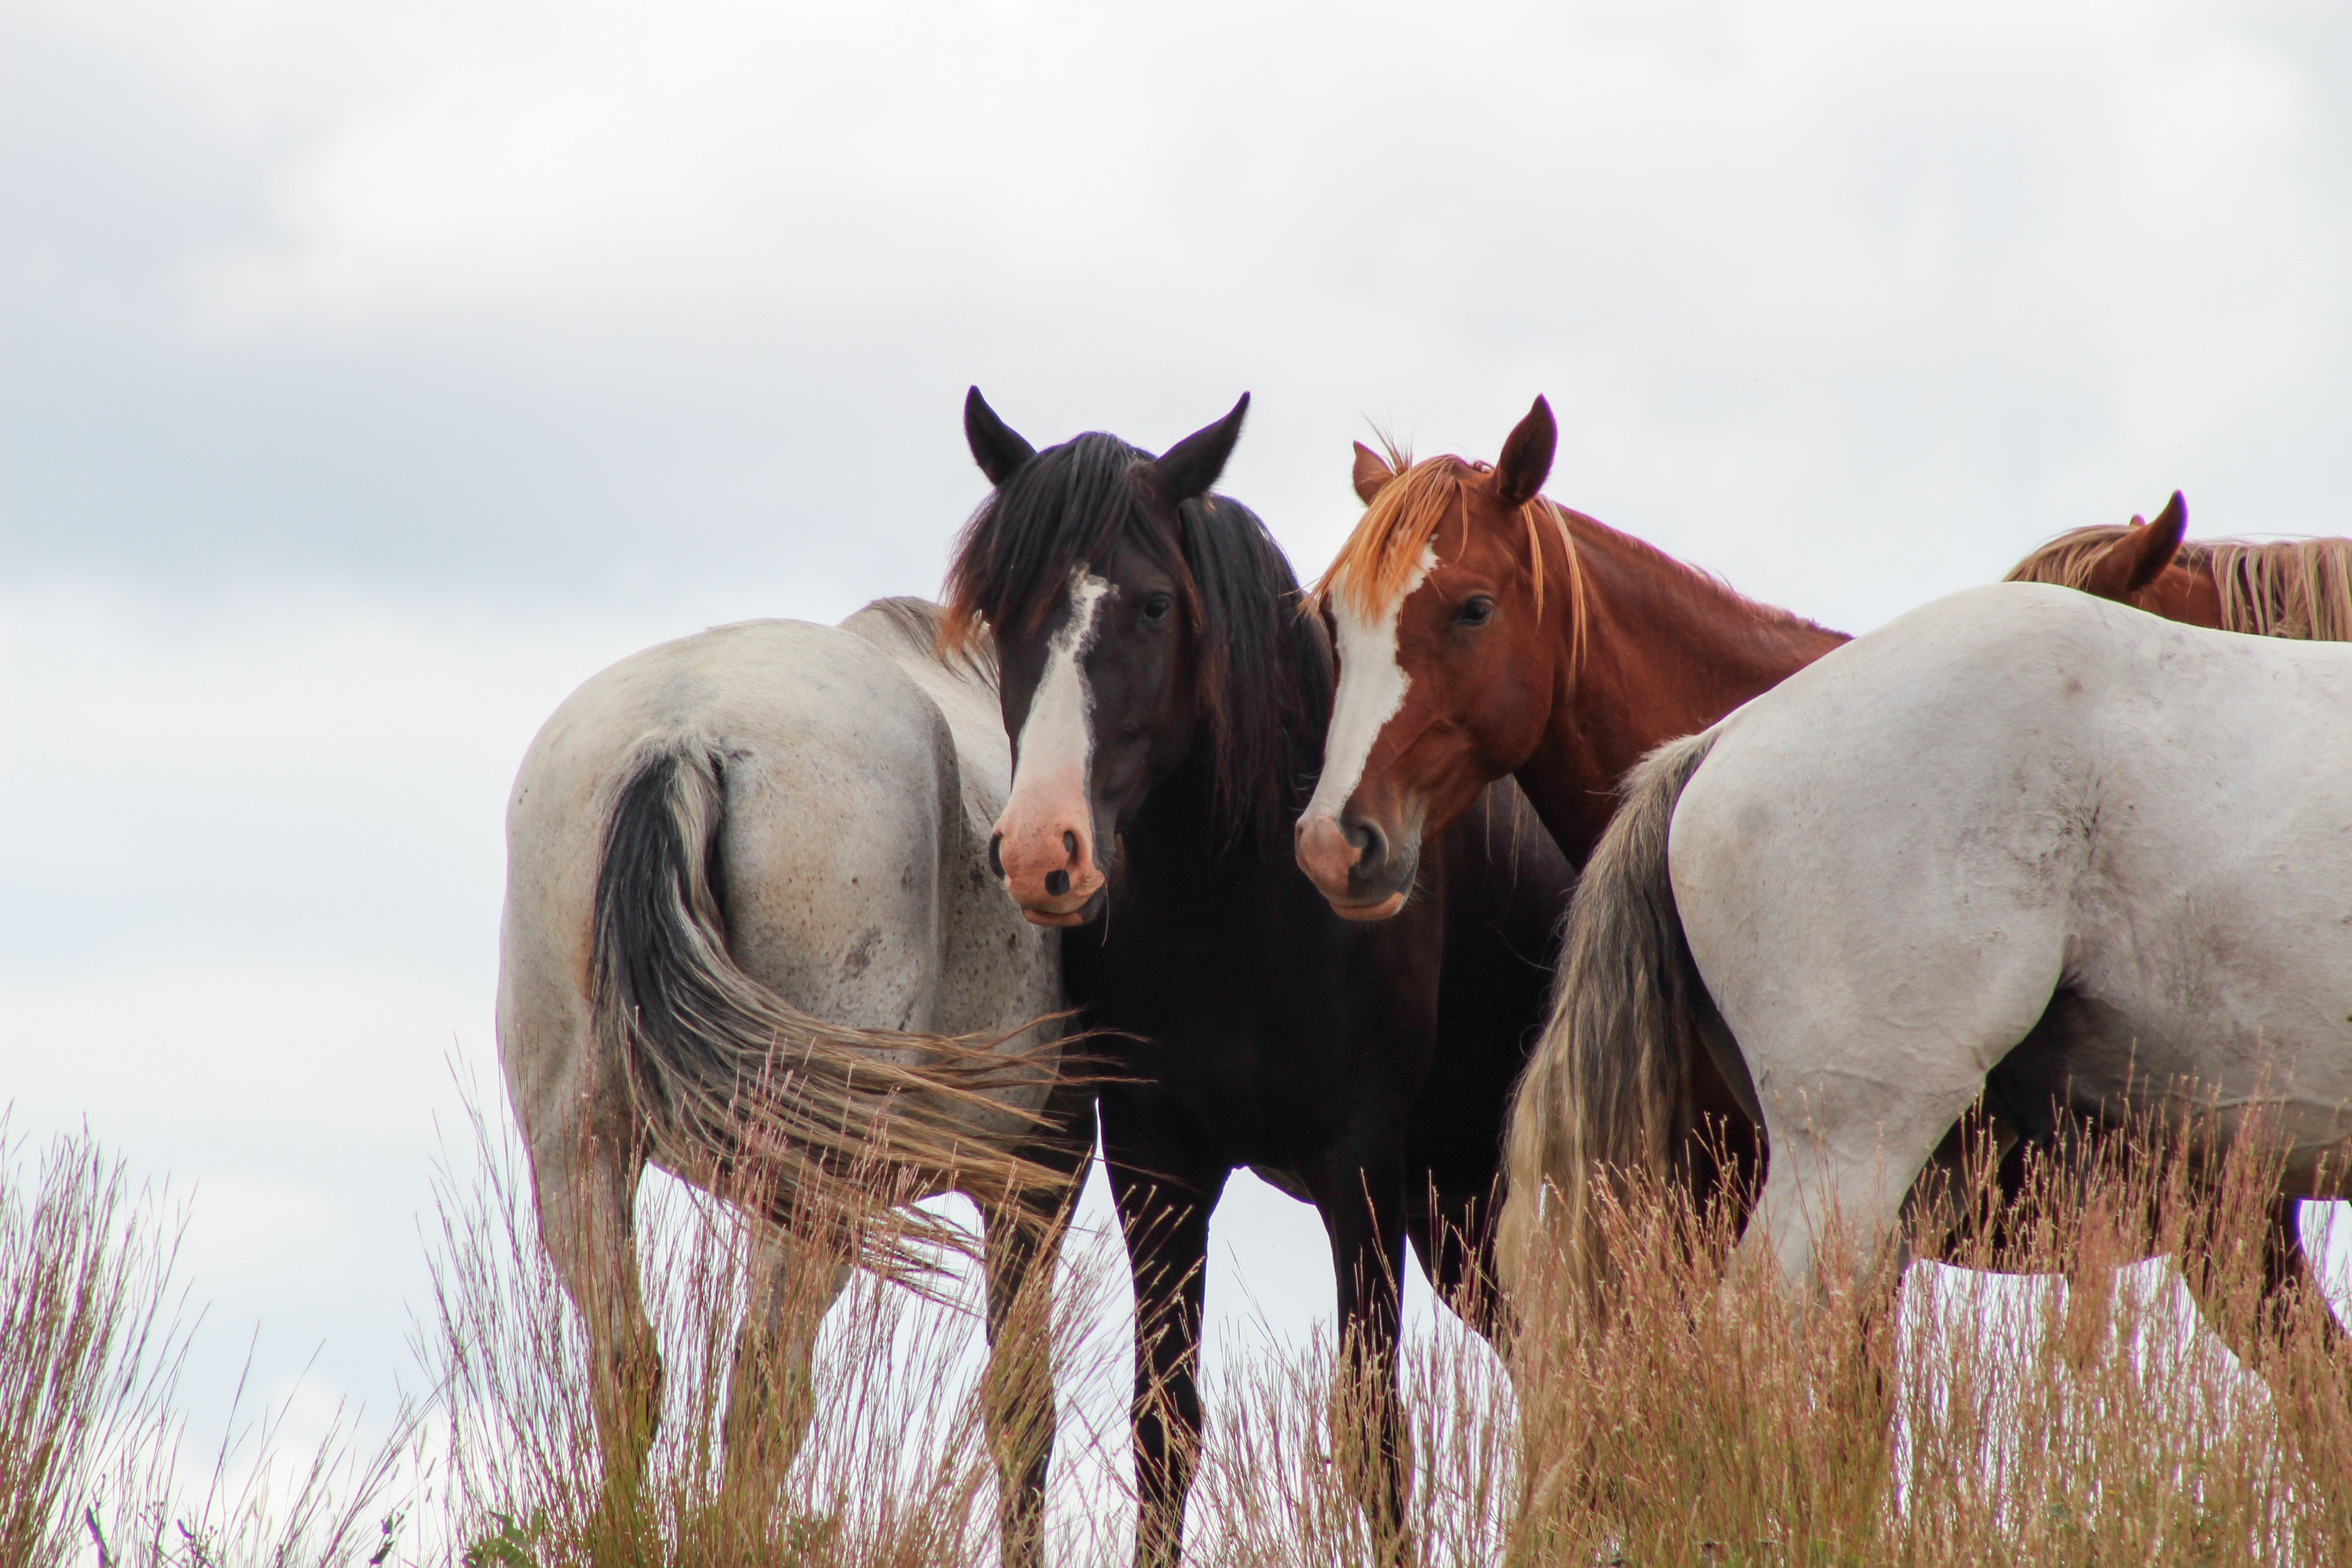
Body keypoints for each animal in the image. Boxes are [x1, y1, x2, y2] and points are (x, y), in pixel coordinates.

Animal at [496, 599, 1087, 1565]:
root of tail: (681, 730)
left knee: (628, 1369)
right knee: (767, 1387)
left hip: (580, 1150)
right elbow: (1021, 1409)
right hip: (811, 1185)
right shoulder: (1038, 1181)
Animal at [942, 390, 1574, 1565]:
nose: (1042, 849)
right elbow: (1164, 1425)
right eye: (1001, 610)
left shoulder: (1360, 1167)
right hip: (1463, 1217)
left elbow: (1373, 1432)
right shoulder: (1158, 1168)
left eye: (1152, 605)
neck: (1235, 902)